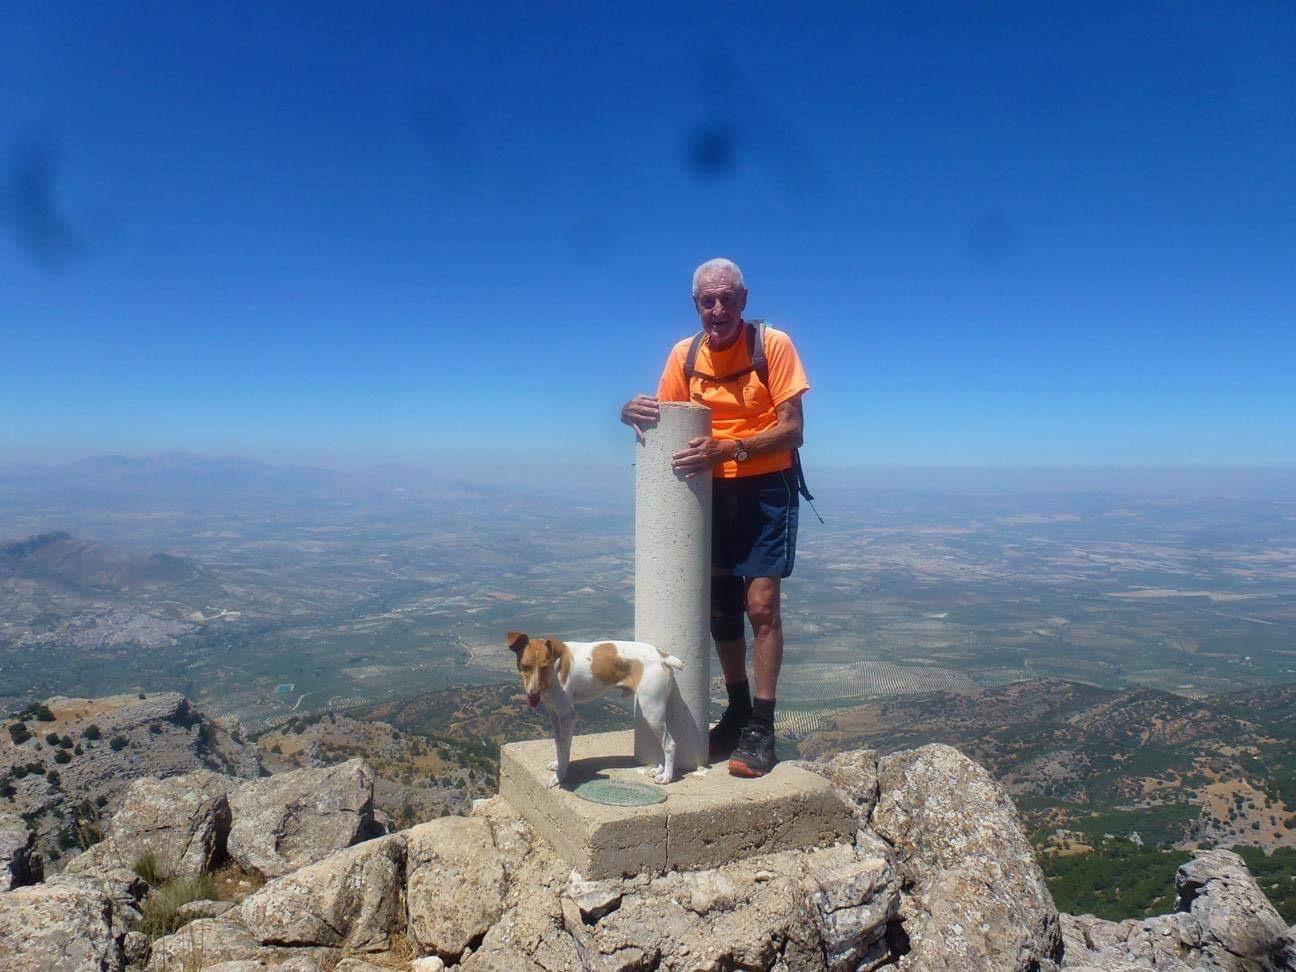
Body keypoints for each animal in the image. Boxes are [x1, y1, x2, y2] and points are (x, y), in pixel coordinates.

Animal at [505, 635, 689, 787]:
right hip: (654, 715)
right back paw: (659, 769)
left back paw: (667, 777)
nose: (533, 694)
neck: (555, 668)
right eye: (525, 666)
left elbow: (564, 747)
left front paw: (559, 777)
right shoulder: (555, 715)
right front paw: (558, 765)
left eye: (544, 666)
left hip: (652, 711)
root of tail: (662, 656)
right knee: (663, 742)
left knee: (670, 744)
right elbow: (560, 744)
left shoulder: (567, 715)